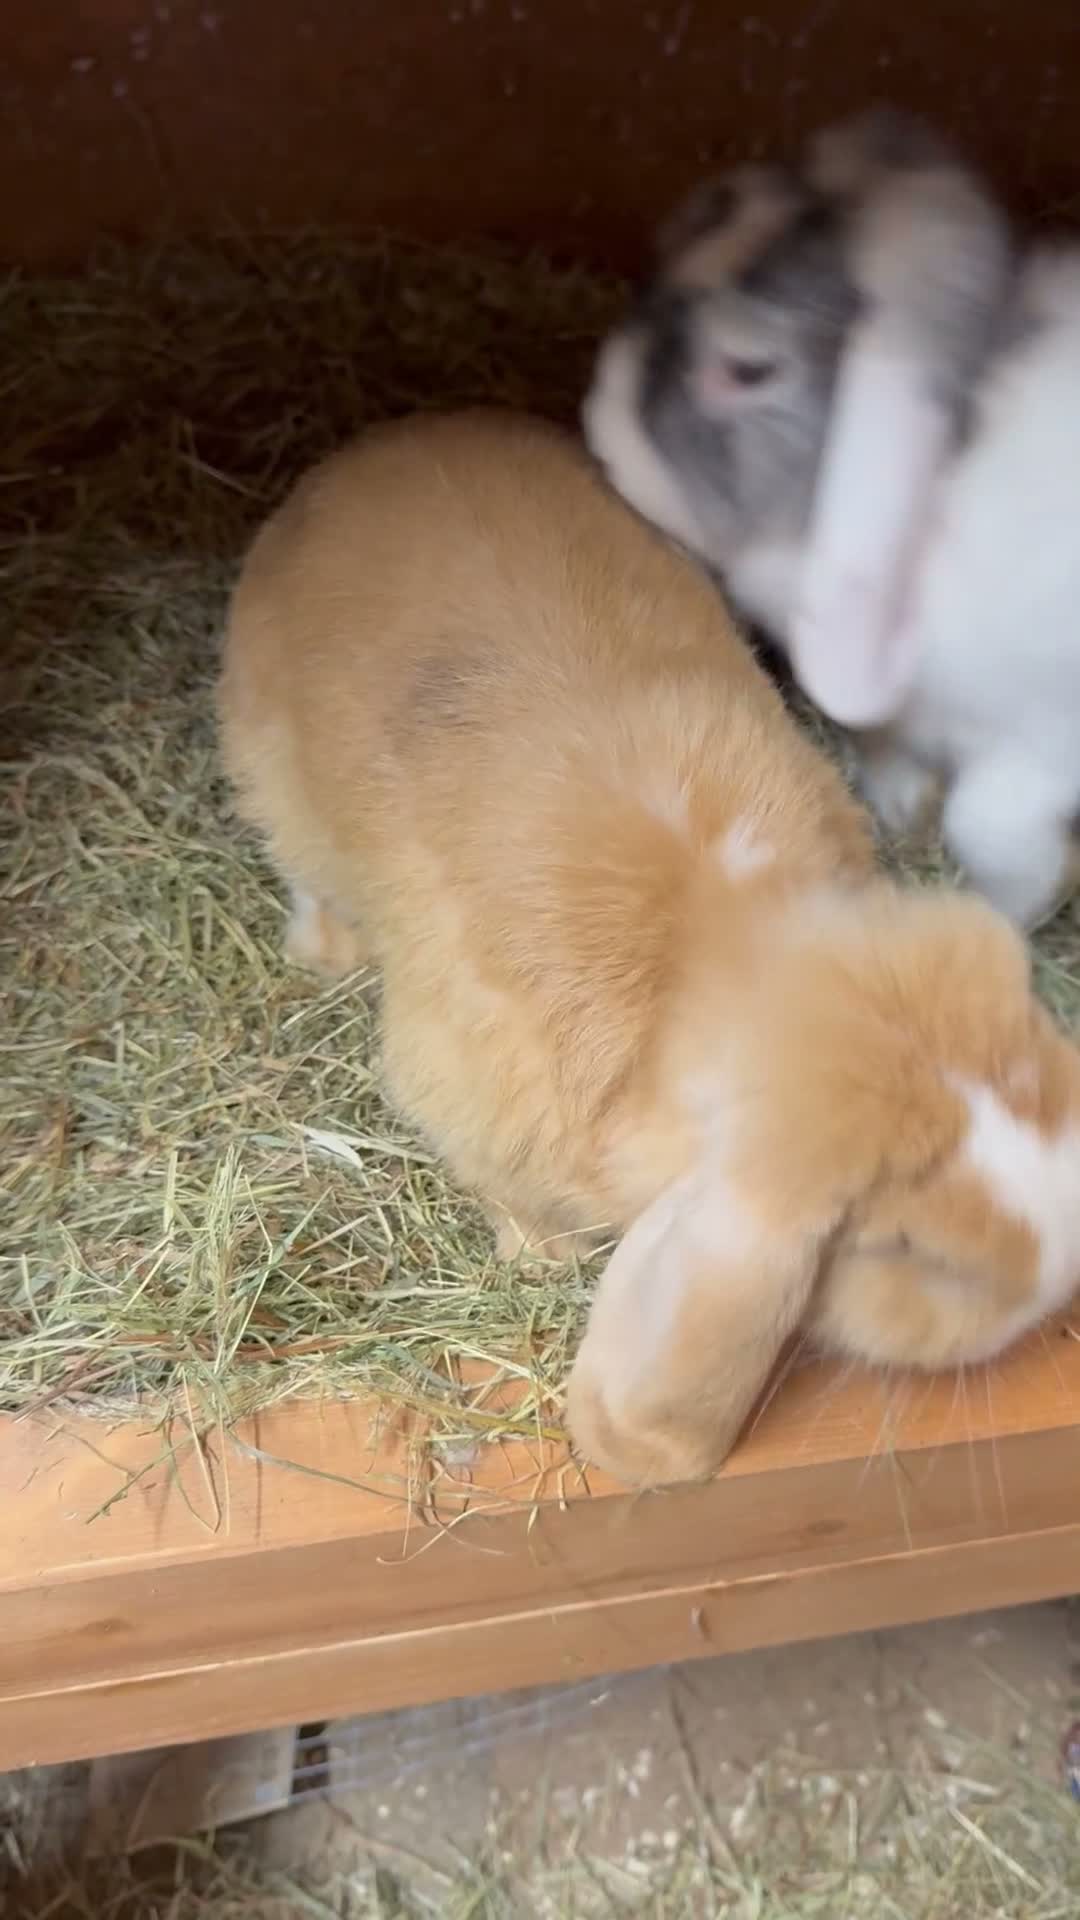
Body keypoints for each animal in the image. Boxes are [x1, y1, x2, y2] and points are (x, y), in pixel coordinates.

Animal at [219, 408, 1080, 1489]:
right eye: (908, 1248)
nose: (1054, 1285)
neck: (719, 956)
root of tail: (384, 443)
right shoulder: (461, 1095)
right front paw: (541, 1263)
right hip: (269, 771)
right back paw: (325, 952)